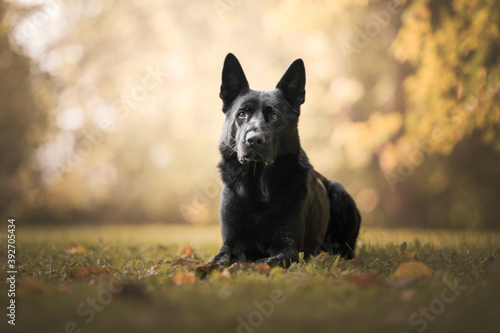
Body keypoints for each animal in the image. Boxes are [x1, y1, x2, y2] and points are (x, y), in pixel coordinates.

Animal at [213, 53, 362, 268]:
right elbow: (218, 260)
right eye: (242, 114)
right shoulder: (230, 245)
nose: (254, 140)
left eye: (274, 116)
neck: (257, 185)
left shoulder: (289, 249)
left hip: (340, 194)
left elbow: (264, 262)